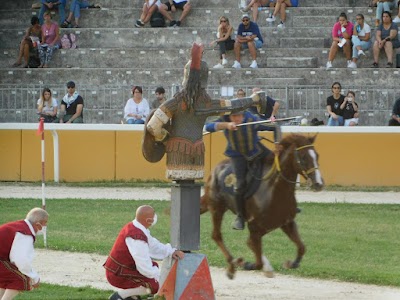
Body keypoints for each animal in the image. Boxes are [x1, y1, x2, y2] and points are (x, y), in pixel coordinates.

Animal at [200, 134, 324, 278]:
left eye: (317, 155)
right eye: (303, 157)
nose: (319, 184)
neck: (274, 189)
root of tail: (216, 169)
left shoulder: (287, 223)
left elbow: (302, 247)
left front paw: (290, 263)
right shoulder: (254, 228)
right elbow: (257, 260)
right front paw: (245, 263)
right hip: (217, 208)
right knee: (216, 235)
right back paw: (232, 265)